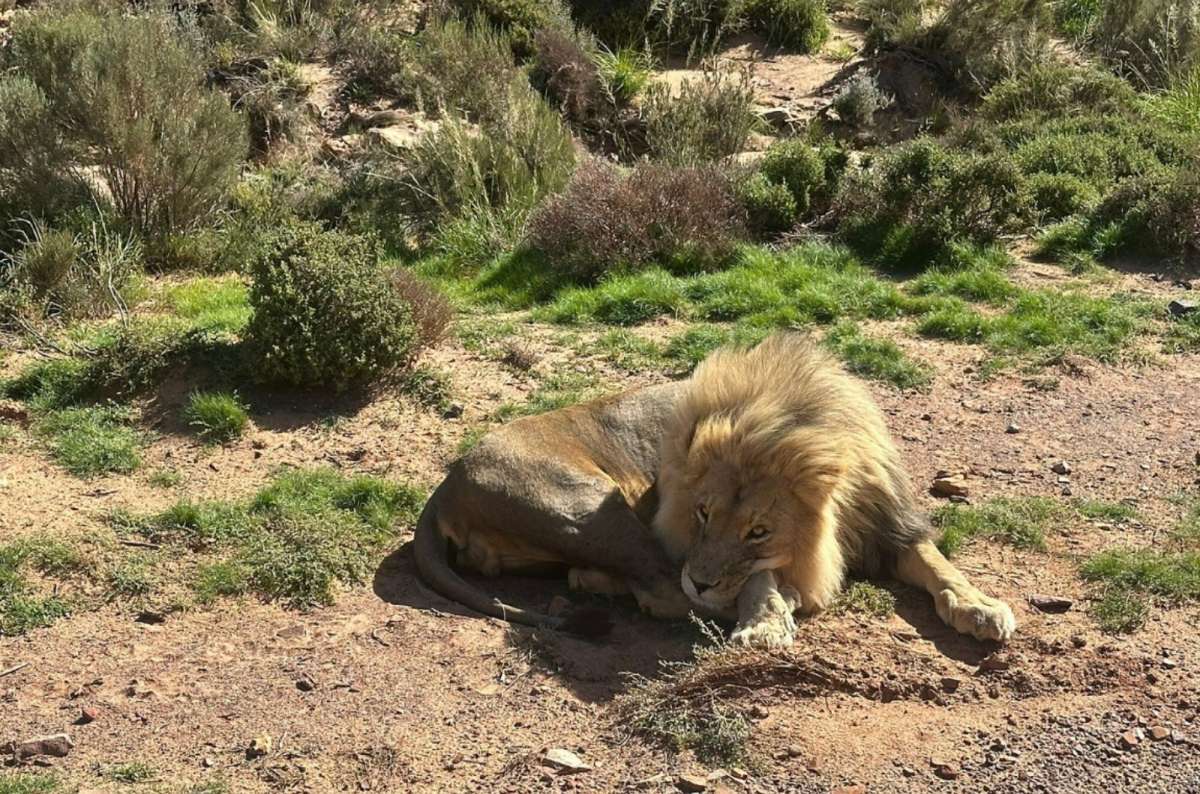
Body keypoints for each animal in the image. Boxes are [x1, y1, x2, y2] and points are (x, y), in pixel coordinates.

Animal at [414, 332, 1015, 647]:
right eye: (701, 514)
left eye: (759, 530)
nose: (703, 580)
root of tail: (444, 485)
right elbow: (759, 580)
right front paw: (769, 614)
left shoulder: (891, 526)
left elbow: (940, 565)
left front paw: (980, 606)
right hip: (593, 508)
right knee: (662, 591)